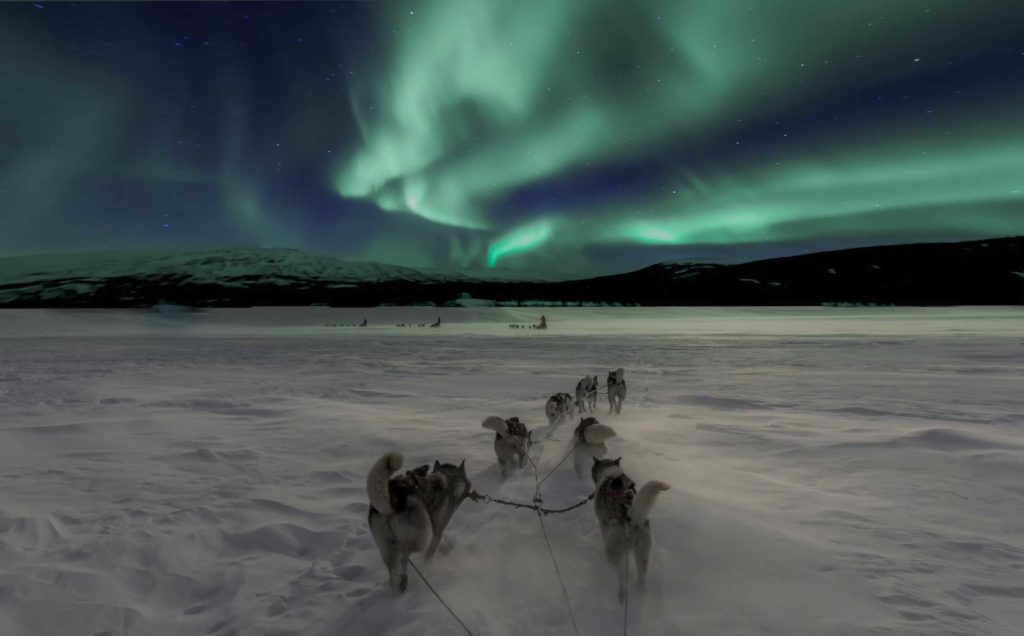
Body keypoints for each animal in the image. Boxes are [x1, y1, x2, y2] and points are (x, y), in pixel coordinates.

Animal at [368, 450, 471, 589]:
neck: (449, 481)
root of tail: (393, 497)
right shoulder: (436, 533)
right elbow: (429, 556)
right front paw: (428, 568)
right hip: (423, 536)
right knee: (404, 556)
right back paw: (405, 576)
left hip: (387, 546)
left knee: (393, 573)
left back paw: (400, 583)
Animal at [589, 456, 667, 602]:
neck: (611, 473)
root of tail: (633, 519)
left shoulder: (603, 523)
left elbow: (604, 533)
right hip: (643, 554)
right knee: (641, 577)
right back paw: (640, 590)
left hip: (613, 552)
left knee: (620, 575)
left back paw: (621, 594)